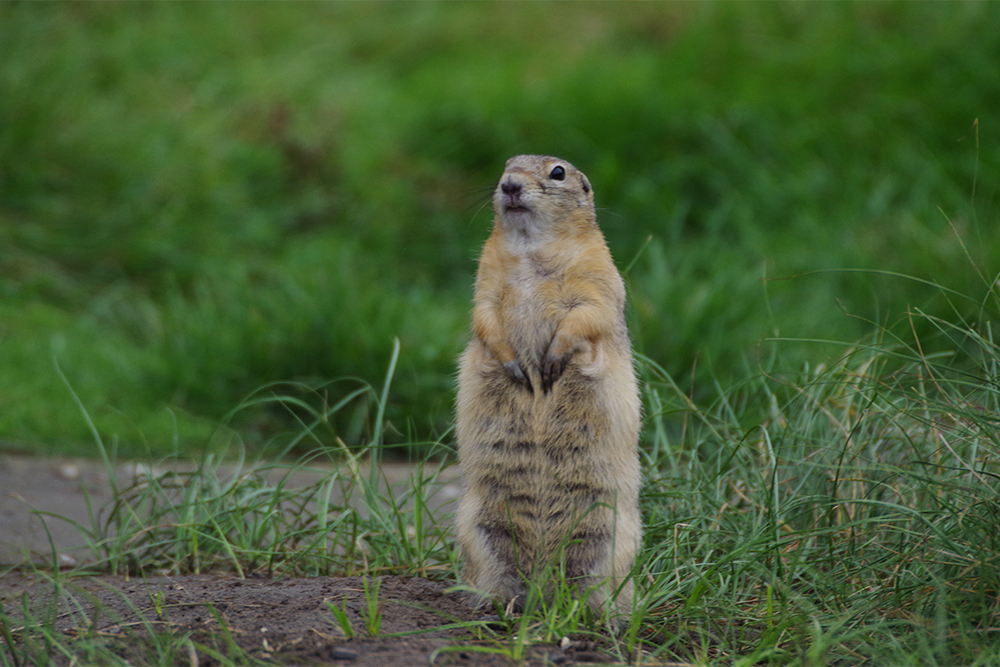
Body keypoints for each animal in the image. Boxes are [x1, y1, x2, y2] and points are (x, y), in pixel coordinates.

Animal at [456, 154, 640, 620]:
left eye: (558, 172)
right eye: (506, 164)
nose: (509, 184)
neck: (530, 249)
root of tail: (545, 593)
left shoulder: (599, 276)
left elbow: (588, 314)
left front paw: (551, 363)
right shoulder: (485, 281)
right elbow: (484, 316)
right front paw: (517, 367)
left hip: (610, 537)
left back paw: (599, 616)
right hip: (479, 527)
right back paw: (499, 608)